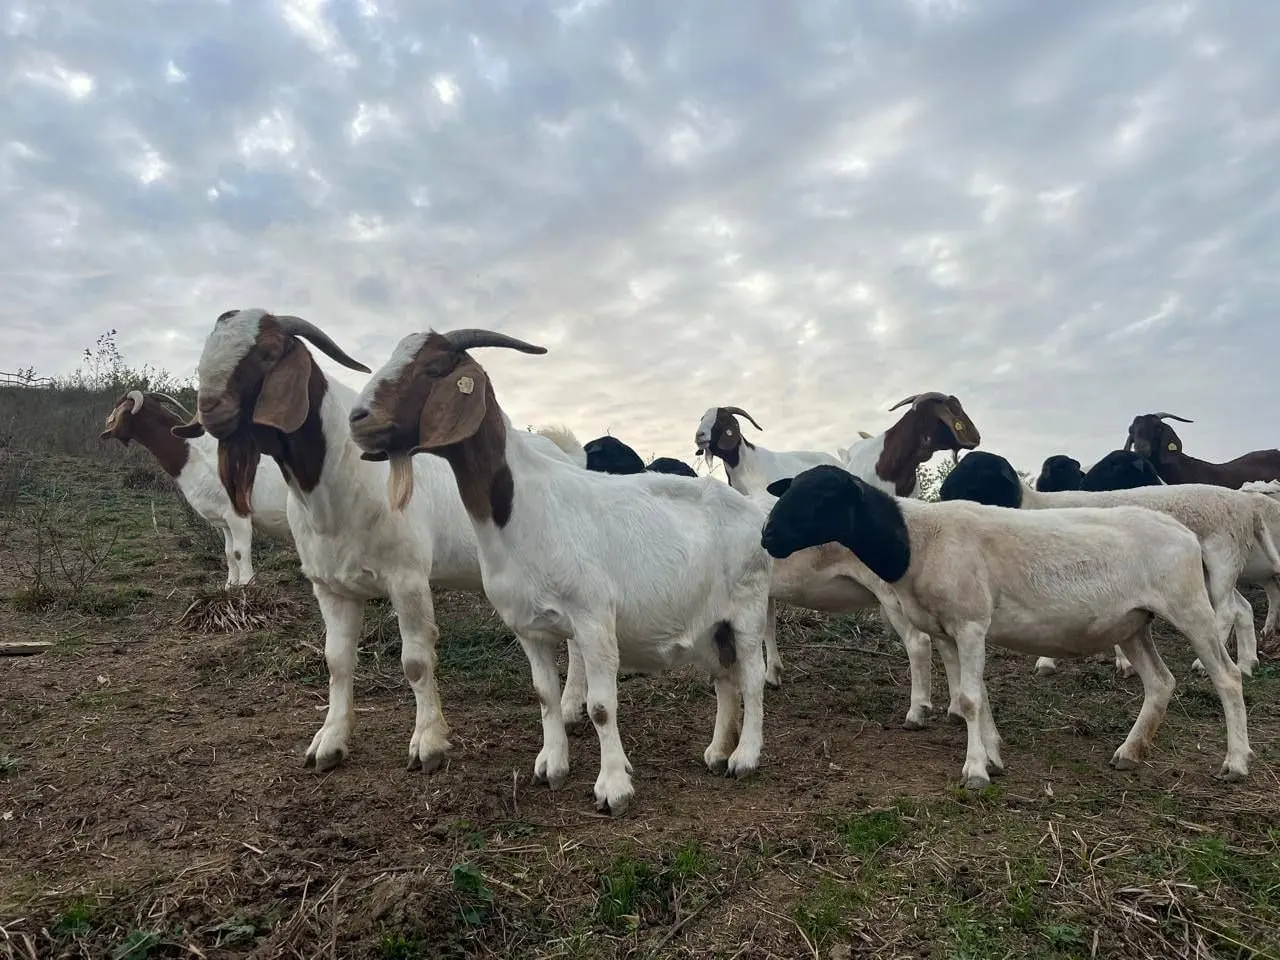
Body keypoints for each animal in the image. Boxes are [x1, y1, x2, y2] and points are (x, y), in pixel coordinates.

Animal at [102, 388, 291, 588]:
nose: (105, 430)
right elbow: (229, 552)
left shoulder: (238, 515)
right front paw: (230, 586)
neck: (196, 454)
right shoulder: (224, 520)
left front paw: (246, 586)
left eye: (119, 411)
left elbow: (240, 552)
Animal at [171, 309, 588, 775]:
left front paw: (428, 743)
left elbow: (416, 661)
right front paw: (330, 742)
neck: (340, 480)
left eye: (267, 352)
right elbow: (336, 661)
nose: (210, 409)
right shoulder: (329, 586)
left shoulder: (407, 579)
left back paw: (571, 705)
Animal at [347, 327, 775, 816]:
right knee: (724, 678)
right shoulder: (528, 627)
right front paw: (551, 767)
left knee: (752, 677)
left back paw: (745, 757)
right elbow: (545, 695)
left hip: (747, 608)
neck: (521, 509)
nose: (358, 419)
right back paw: (718, 752)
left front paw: (613, 788)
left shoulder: (593, 620)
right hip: (711, 624)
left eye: (434, 368)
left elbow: (601, 706)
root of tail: (754, 513)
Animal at [762, 465, 1252, 789]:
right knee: (1161, 683)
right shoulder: (949, 631)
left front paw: (975, 771)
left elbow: (970, 699)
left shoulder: (970, 622)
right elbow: (971, 695)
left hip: (1189, 605)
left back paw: (1235, 762)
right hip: (1133, 623)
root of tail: (1184, 534)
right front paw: (993, 754)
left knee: (1226, 678)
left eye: (822, 496)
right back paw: (1130, 753)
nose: (766, 536)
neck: (915, 540)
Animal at [940, 450, 1280, 678]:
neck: (1033, 505)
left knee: (1226, 611)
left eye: (979, 469)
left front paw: (1122, 663)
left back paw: (1206, 664)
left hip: (1220, 561)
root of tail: (1247, 506)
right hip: (1206, 574)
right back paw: (1247, 663)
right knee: (1241, 607)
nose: (943, 493)